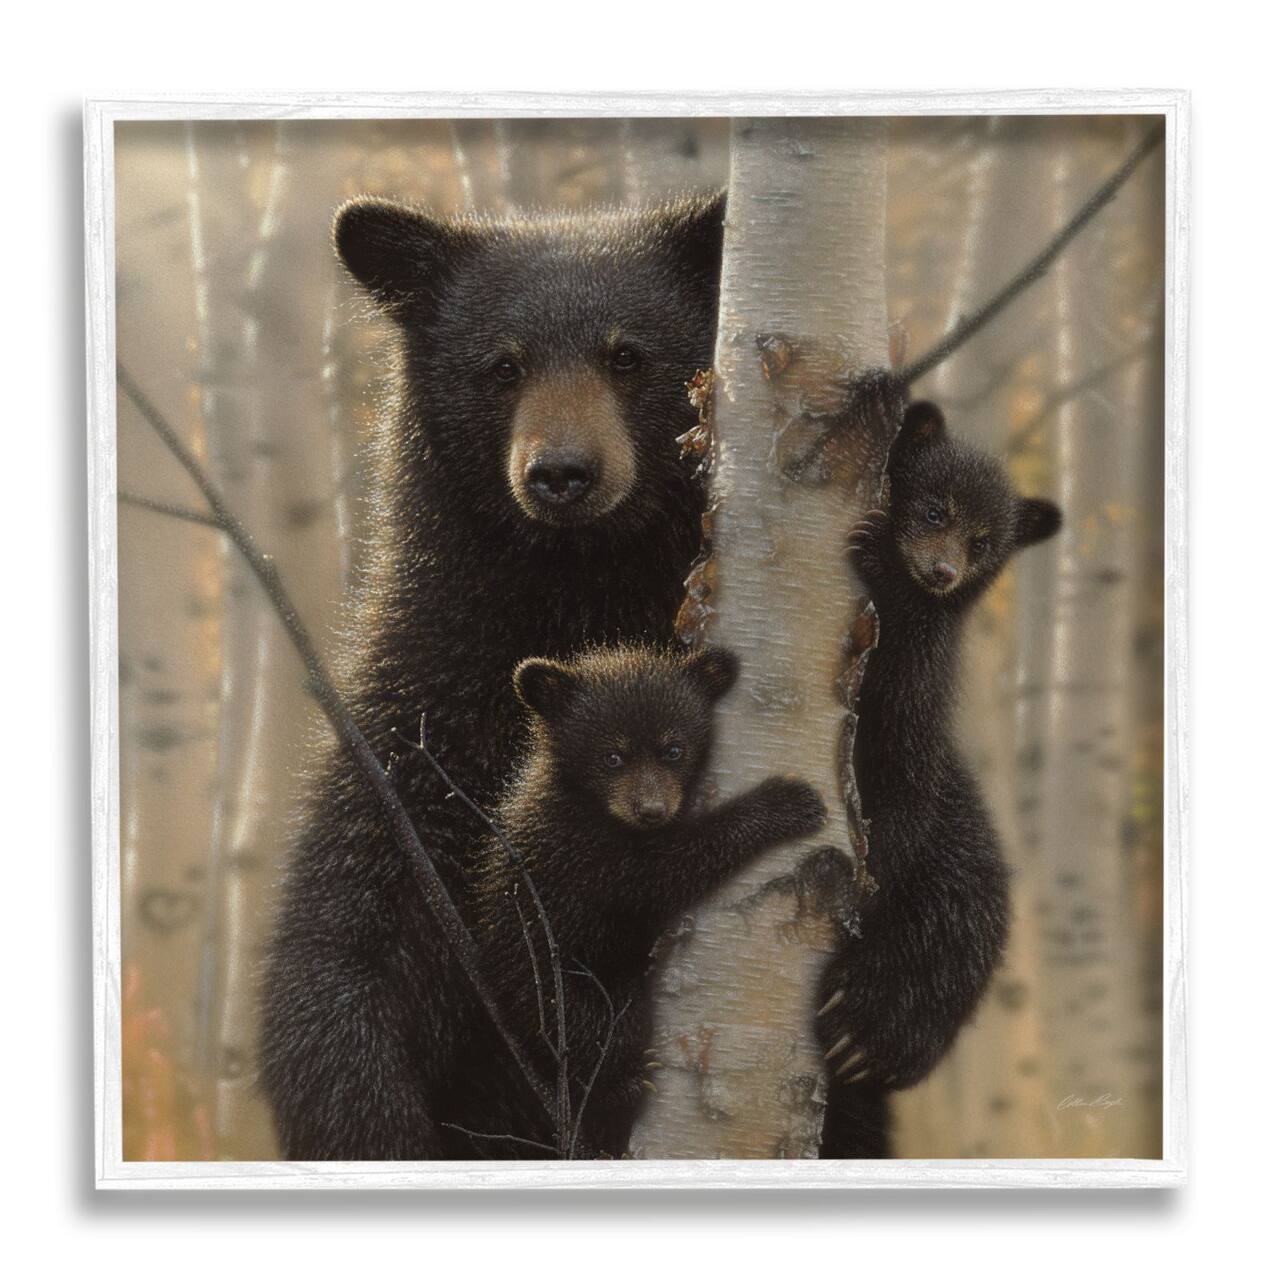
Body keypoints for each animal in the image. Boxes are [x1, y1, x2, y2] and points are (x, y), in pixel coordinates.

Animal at [259, 193, 727, 1160]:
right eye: (502, 366)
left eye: (628, 355)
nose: (563, 473)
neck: (575, 599)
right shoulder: (420, 733)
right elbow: (342, 950)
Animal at [444, 644, 827, 1158]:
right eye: (612, 756)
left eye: (673, 749)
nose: (650, 809)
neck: (589, 803)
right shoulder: (581, 851)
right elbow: (662, 873)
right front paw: (785, 802)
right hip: (551, 987)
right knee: (594, 1028)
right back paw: (622, 1086)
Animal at [816, 400, 1062, 1159]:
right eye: (933, 509)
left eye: (984, 541)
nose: (943, 571)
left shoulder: (914, 701)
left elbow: (900, 783)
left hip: (963, 883)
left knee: (947, 942)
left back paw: (865, 1032)